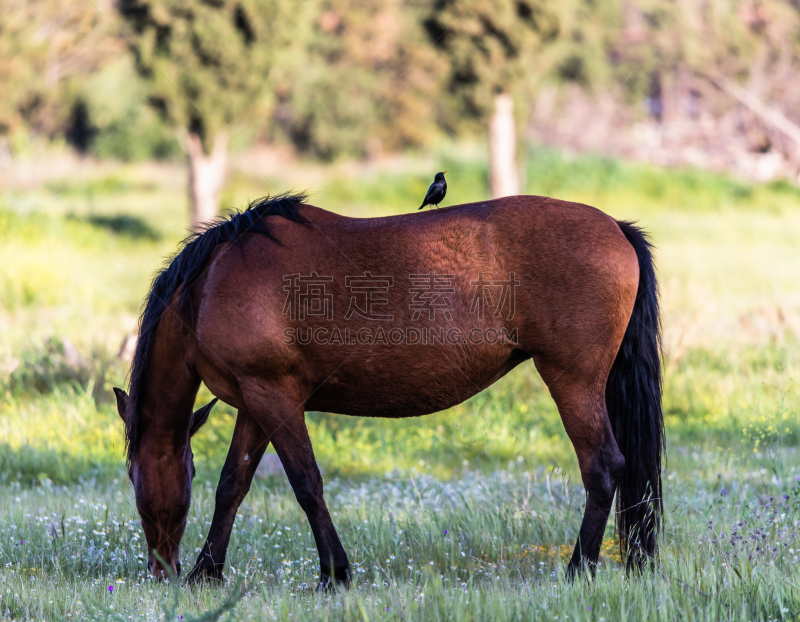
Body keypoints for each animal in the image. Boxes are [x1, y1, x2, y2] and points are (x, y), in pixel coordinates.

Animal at [112, 193, 664, 588]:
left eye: (136, 479)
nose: (161, 571)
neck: (210, 285)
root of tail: (616, 227)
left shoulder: (274, 397)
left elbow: (306, 484)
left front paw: (334, 574)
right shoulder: (257, 402)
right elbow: (233, 485)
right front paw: (208, 572)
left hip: (573, 381)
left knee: (602, 467)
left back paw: (578, 570)